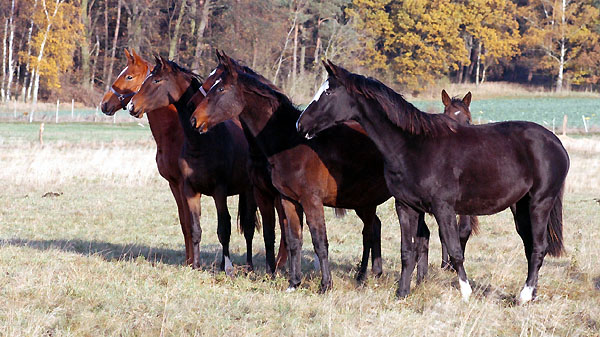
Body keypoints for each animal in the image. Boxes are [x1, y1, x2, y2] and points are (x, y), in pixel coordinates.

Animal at [98, 49, 192, 266]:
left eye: (129, 76)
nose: (104, 104)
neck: (176, 132)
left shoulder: (185, 185)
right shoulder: (174, 184)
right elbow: (185, 223)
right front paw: (189, 261)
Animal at [125, 55, 262, 276]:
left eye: (157, 80)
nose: (131, 106)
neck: (202, 142)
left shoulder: (219, 191)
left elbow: (224, 229)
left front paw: (229, 268)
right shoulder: (190, 190)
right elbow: (195, 228)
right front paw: (196, 265)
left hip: (249, 190)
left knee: (248, 228)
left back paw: (248, 266)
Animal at [191, 53, 418, 290]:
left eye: (220, 89)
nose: (194, 119)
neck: (289, 141)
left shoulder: (311, 201)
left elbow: (319, 241)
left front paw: (325, 285)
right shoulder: (287, 199)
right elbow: (293, 239)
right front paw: (294, 281)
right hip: (364, 201)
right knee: (374, 229)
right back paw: (369, 275)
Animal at [298, 59, 568, 304]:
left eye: (329, 92)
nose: (301, 124)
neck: (413, 146)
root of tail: (555, 142)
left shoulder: (443, 207)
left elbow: (455, 250)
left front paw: (466, 293)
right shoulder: (406, 207)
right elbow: (408, 251)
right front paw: (402, 293)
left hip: (539, 203)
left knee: (539, 247)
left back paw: (524, 296)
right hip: (520, 207)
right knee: (530, 246)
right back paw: (531, 294)